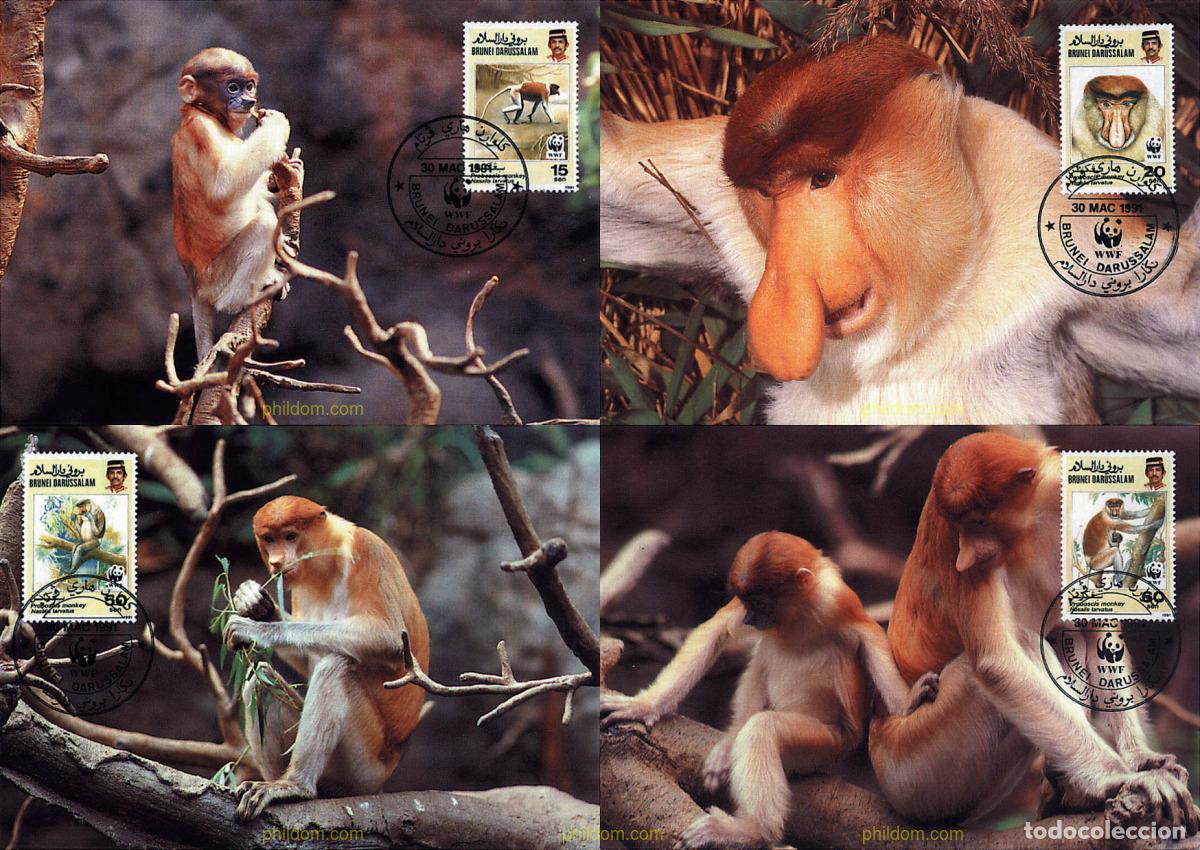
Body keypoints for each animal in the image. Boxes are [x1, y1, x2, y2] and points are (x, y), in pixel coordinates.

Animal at [172, 48, 292, 360]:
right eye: (233, 88)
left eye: (250, 86)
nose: (249, 101)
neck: (205, 113)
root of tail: (194, 283)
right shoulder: (202, 131)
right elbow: (225, 187)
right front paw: (276, 125)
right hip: (218, 277)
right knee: (263, 225)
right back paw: (243, 297)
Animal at [222, 496, 429, 823]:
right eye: (269, 539)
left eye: (290, 536)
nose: (276, 562)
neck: (328, 559)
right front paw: (254, 603)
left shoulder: (366, 550)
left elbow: (388, 637)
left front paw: (257, 629)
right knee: (260, 682)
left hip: (363, 766)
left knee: (337, 666)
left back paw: (293, 786)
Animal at [601, 532, 939, 849]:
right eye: (747, 603)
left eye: (761, 602)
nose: (751, 618)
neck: (796, 614)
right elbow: (718, 628)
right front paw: (644, 705)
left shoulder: (837, 600)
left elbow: (868, 637)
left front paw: (908, 703)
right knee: (763, 656)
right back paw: (733, 744)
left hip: (827, 744)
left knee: (765, 727)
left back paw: (753, 830)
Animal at [866, 433, 1196, 830]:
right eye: (960, 526)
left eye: (979, 521)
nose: (964, 558)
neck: (1029, 521)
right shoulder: (947, 533)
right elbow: (998, 663)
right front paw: (1123, 777)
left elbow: (1093, 618)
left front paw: (1140, 757)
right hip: (915, 768)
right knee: (1016, 647)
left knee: (1068, 635)